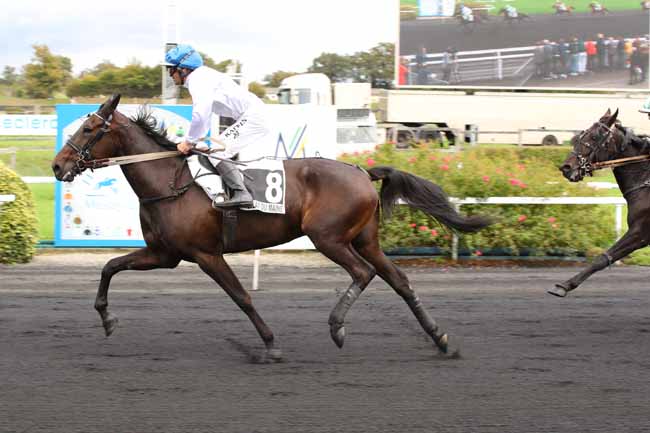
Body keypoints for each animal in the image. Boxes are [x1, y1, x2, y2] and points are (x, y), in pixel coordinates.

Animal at [52, 96, 492, 360]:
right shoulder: (165, 254)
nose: (58, 166)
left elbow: (242, 297)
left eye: (89, 129)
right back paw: (440, 339)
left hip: (328, 237)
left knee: (363, 273)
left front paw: (269, 344)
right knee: (398, 280)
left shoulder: (205, 254)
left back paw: (337, 327)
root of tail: (361, 170)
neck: (169, 183)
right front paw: (106, 319)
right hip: (365, 239)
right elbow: (110, 266)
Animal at [548, 108, 648, 296]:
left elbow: (602, 258)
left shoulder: (640, 231)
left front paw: (564, 286)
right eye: (582, 134)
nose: (566, 167)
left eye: (594, 136)